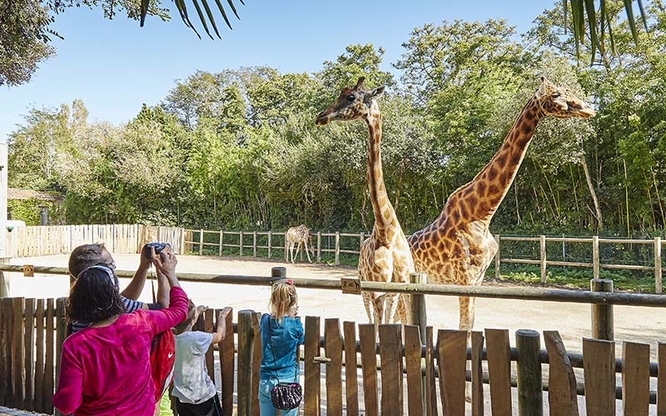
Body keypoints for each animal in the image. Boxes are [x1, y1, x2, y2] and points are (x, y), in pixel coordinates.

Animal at [314, 77, 412, 324]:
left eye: (351, 97)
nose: (321, 116)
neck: (386, 229)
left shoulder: (397, 287)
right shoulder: (375, 288)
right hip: (364, 290)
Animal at [404, 77, 596, 332]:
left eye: (567, 90)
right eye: (555, 95)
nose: (589, 109)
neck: (482, 215)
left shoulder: (478, 278)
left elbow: (470, 325)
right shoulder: (465, 277)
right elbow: (463, 327)